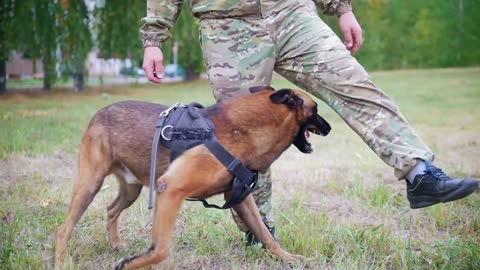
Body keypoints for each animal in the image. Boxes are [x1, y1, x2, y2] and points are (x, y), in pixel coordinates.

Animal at [52, 87, 330, 268]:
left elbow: (264, 234)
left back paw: (116, 243)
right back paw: (63, 260)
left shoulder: (241, 199)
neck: (240, 130)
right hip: (90, 185)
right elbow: (161, 249)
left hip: (131, 188)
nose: (328, 127)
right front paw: (132, 263)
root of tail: (101, 111)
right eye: (315, 108)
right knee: (64, 228)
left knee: (111, 209)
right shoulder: (170, 190)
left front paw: (287, 258)